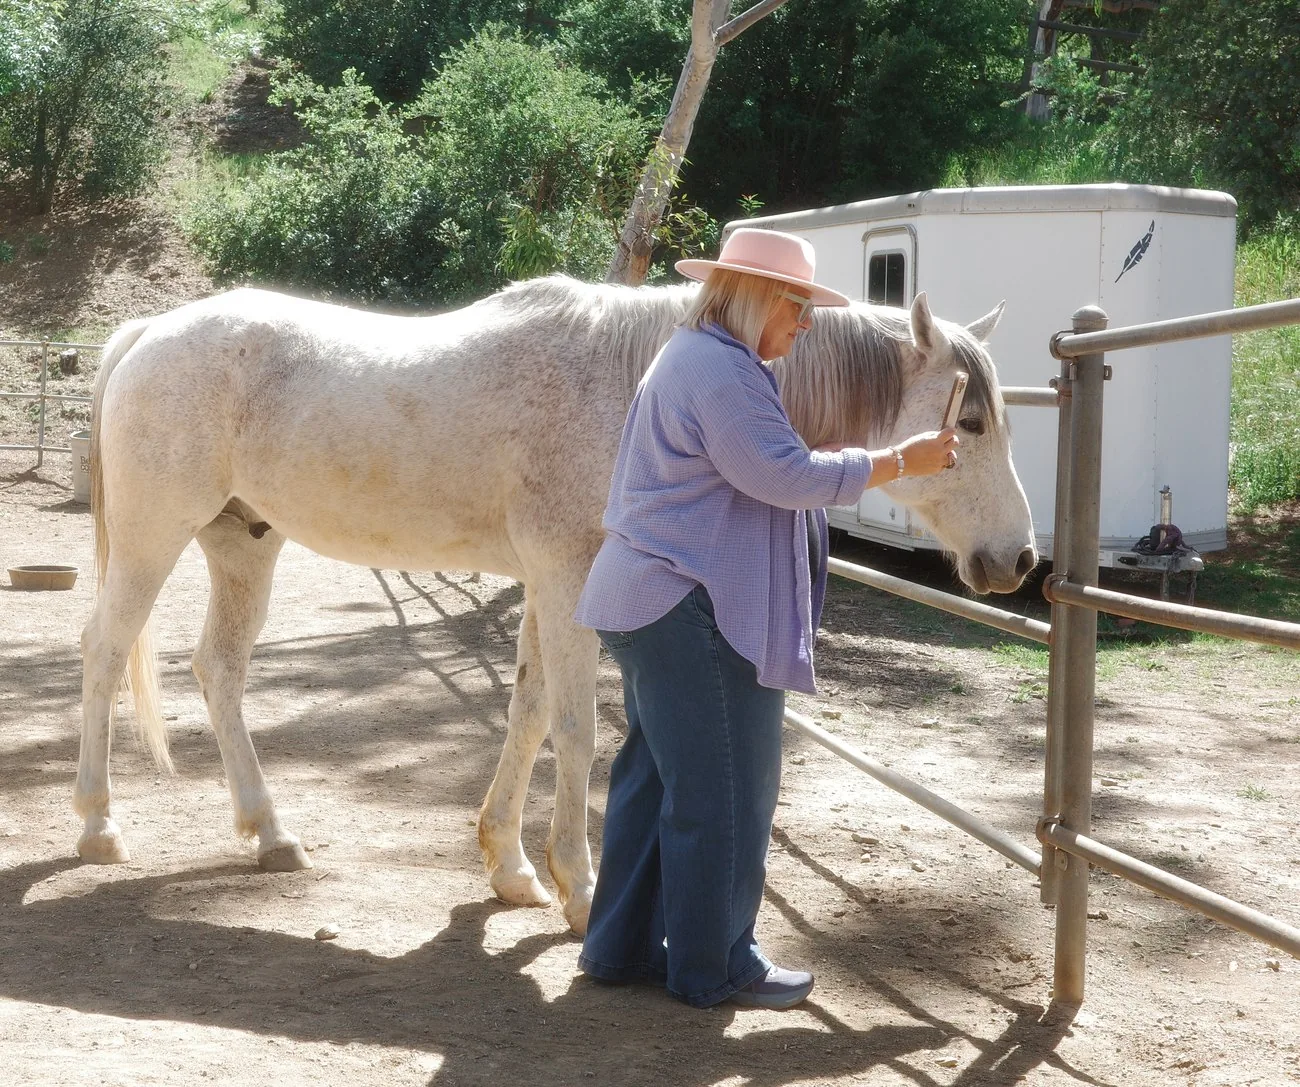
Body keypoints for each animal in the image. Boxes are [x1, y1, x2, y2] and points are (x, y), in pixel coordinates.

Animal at [75, 275, 1036, 935]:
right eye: (971, 422)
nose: (1018, 558)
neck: (633, 384)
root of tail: (147, 334)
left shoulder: (545, 583)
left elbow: (529, 712)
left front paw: (509, 866)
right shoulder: (570, 578)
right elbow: (577, 727)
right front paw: (577, 886)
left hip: (244, 544)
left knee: (219, 670)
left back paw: (271, 832)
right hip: (155, 536)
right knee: (105, 652)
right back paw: (98, 826)